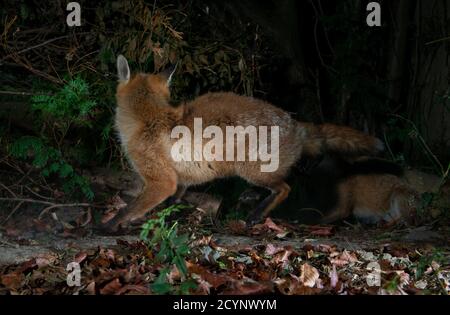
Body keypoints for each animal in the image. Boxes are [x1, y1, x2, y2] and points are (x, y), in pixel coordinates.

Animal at [104, 55, 384, 231]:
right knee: (287, 180)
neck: (151, 118)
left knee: (284, 188)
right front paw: (164, 216)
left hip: (250, 169)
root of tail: (296, 124)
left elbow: (131, 208)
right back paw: (254, 199)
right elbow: (171, 201)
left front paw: (109, 225)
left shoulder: (161, 180)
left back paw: (255, 215)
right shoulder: (181, 180)